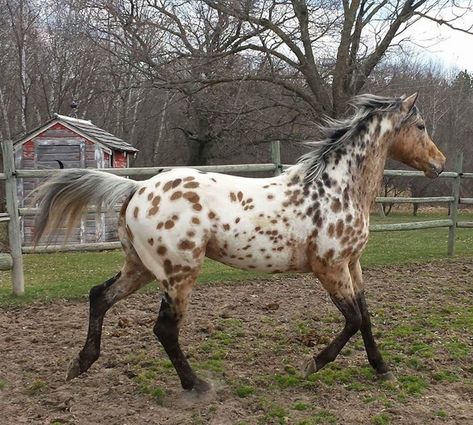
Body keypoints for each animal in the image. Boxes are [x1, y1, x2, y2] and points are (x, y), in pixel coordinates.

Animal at [35, 93, 444, 390]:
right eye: (421, 125)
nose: (439, 164)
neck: (336, 188)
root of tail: (137, 187)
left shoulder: (352, 264)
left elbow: (366, 316)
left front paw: (383, 369)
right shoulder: (328, 267)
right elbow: (354, 319)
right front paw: (311, 364)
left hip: (141, 266)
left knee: (99, 296)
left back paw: (80, 364)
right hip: (179, 273)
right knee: (164, 328)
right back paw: (197, 385)